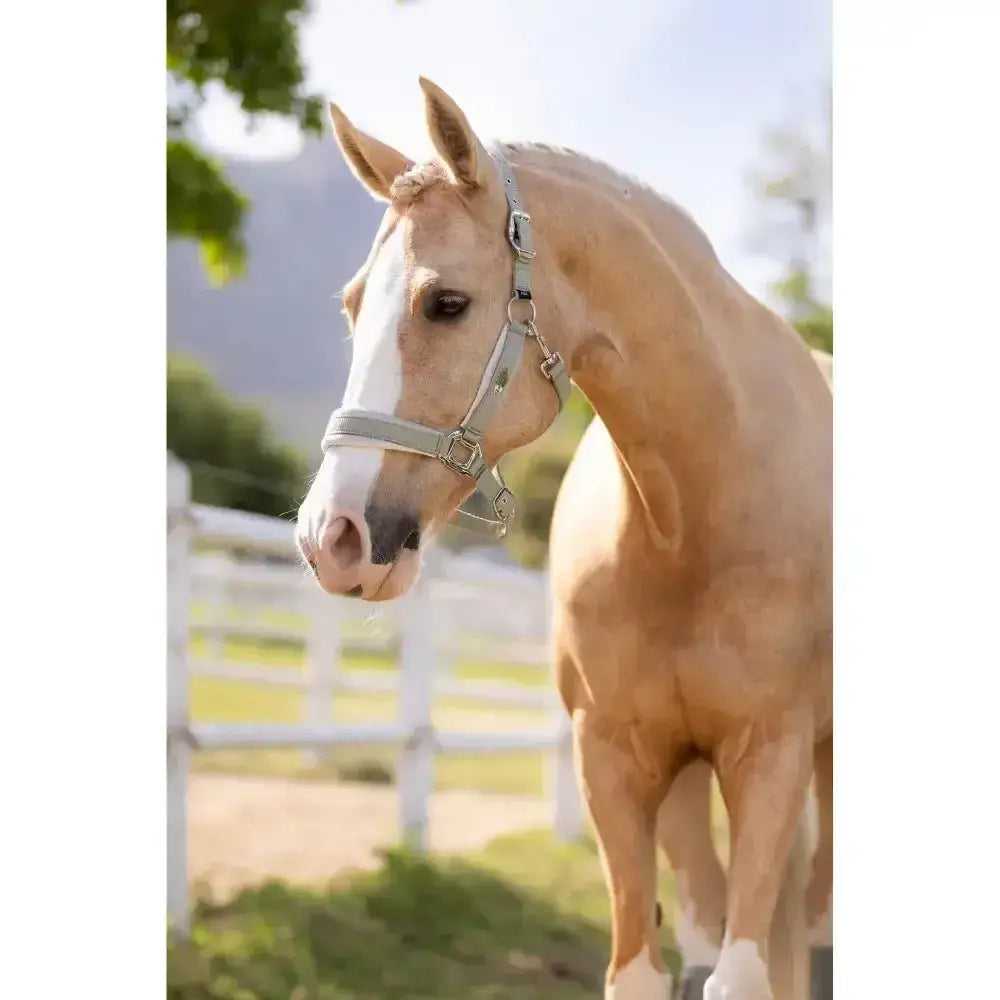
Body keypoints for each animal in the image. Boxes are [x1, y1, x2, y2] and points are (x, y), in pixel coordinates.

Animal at [295, 78, 832, 1000]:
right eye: (353, 306)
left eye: (446, 303)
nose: (334, 535)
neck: (690, 522)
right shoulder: (613, 761)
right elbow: (641, 971)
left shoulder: (771, 756)